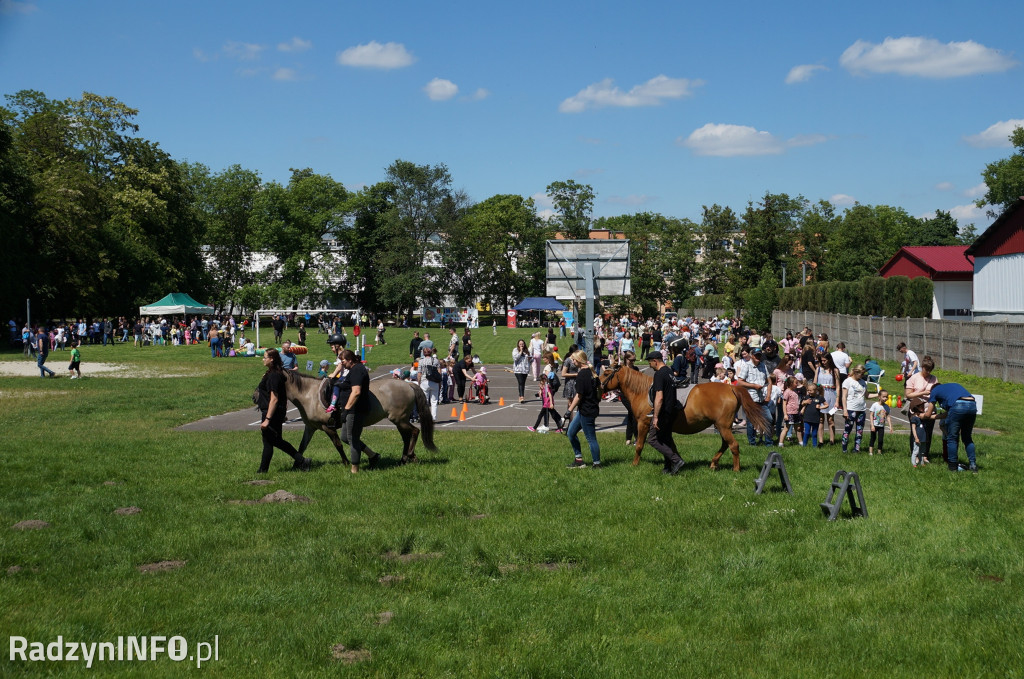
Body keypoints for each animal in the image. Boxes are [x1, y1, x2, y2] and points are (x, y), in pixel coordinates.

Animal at [598, 366, 770, 473]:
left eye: (606, 374)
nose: (597, 385)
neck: (644, 392)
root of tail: (731, 387)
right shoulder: (664, 429)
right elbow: (671, 447)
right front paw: (675, 463)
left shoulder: (644, 424)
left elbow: (639, 445)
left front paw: (635, 464)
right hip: (722, 426)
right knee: (725, 444)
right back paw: (713, 463)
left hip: (723, 426)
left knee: (733, 445)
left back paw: (735, 469)